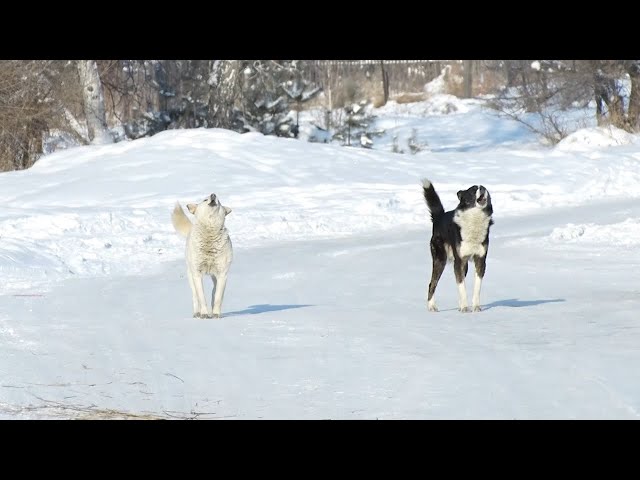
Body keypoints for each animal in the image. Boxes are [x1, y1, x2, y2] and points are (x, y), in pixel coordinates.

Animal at [422, 178, 492, 314]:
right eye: (473, 189)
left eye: (484, 188)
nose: (482, 188)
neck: (475, 219)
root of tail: (439, 217)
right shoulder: (459, 262)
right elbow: (462, 287)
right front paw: (464, 308)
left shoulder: (480, 260)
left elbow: (476, 287)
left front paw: (476, 307)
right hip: (440, 260)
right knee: (432, 284)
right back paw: (432, 306)